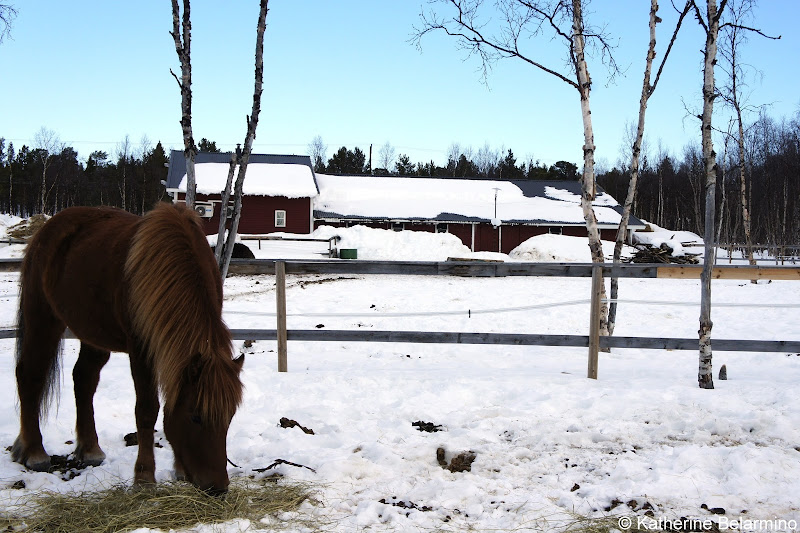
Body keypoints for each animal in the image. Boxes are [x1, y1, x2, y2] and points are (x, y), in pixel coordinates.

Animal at [11, 202, 244, 492]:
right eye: (196, 417)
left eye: (230, 417)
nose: (217, 488)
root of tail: (48, 229)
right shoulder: (141, 350)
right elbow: (147, 411)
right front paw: (144, 477)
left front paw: (178, 470)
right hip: (43, 317)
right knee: (29, 375)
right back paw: (34, 452)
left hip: (93, 333)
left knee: (84, 379)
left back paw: (90, 449)